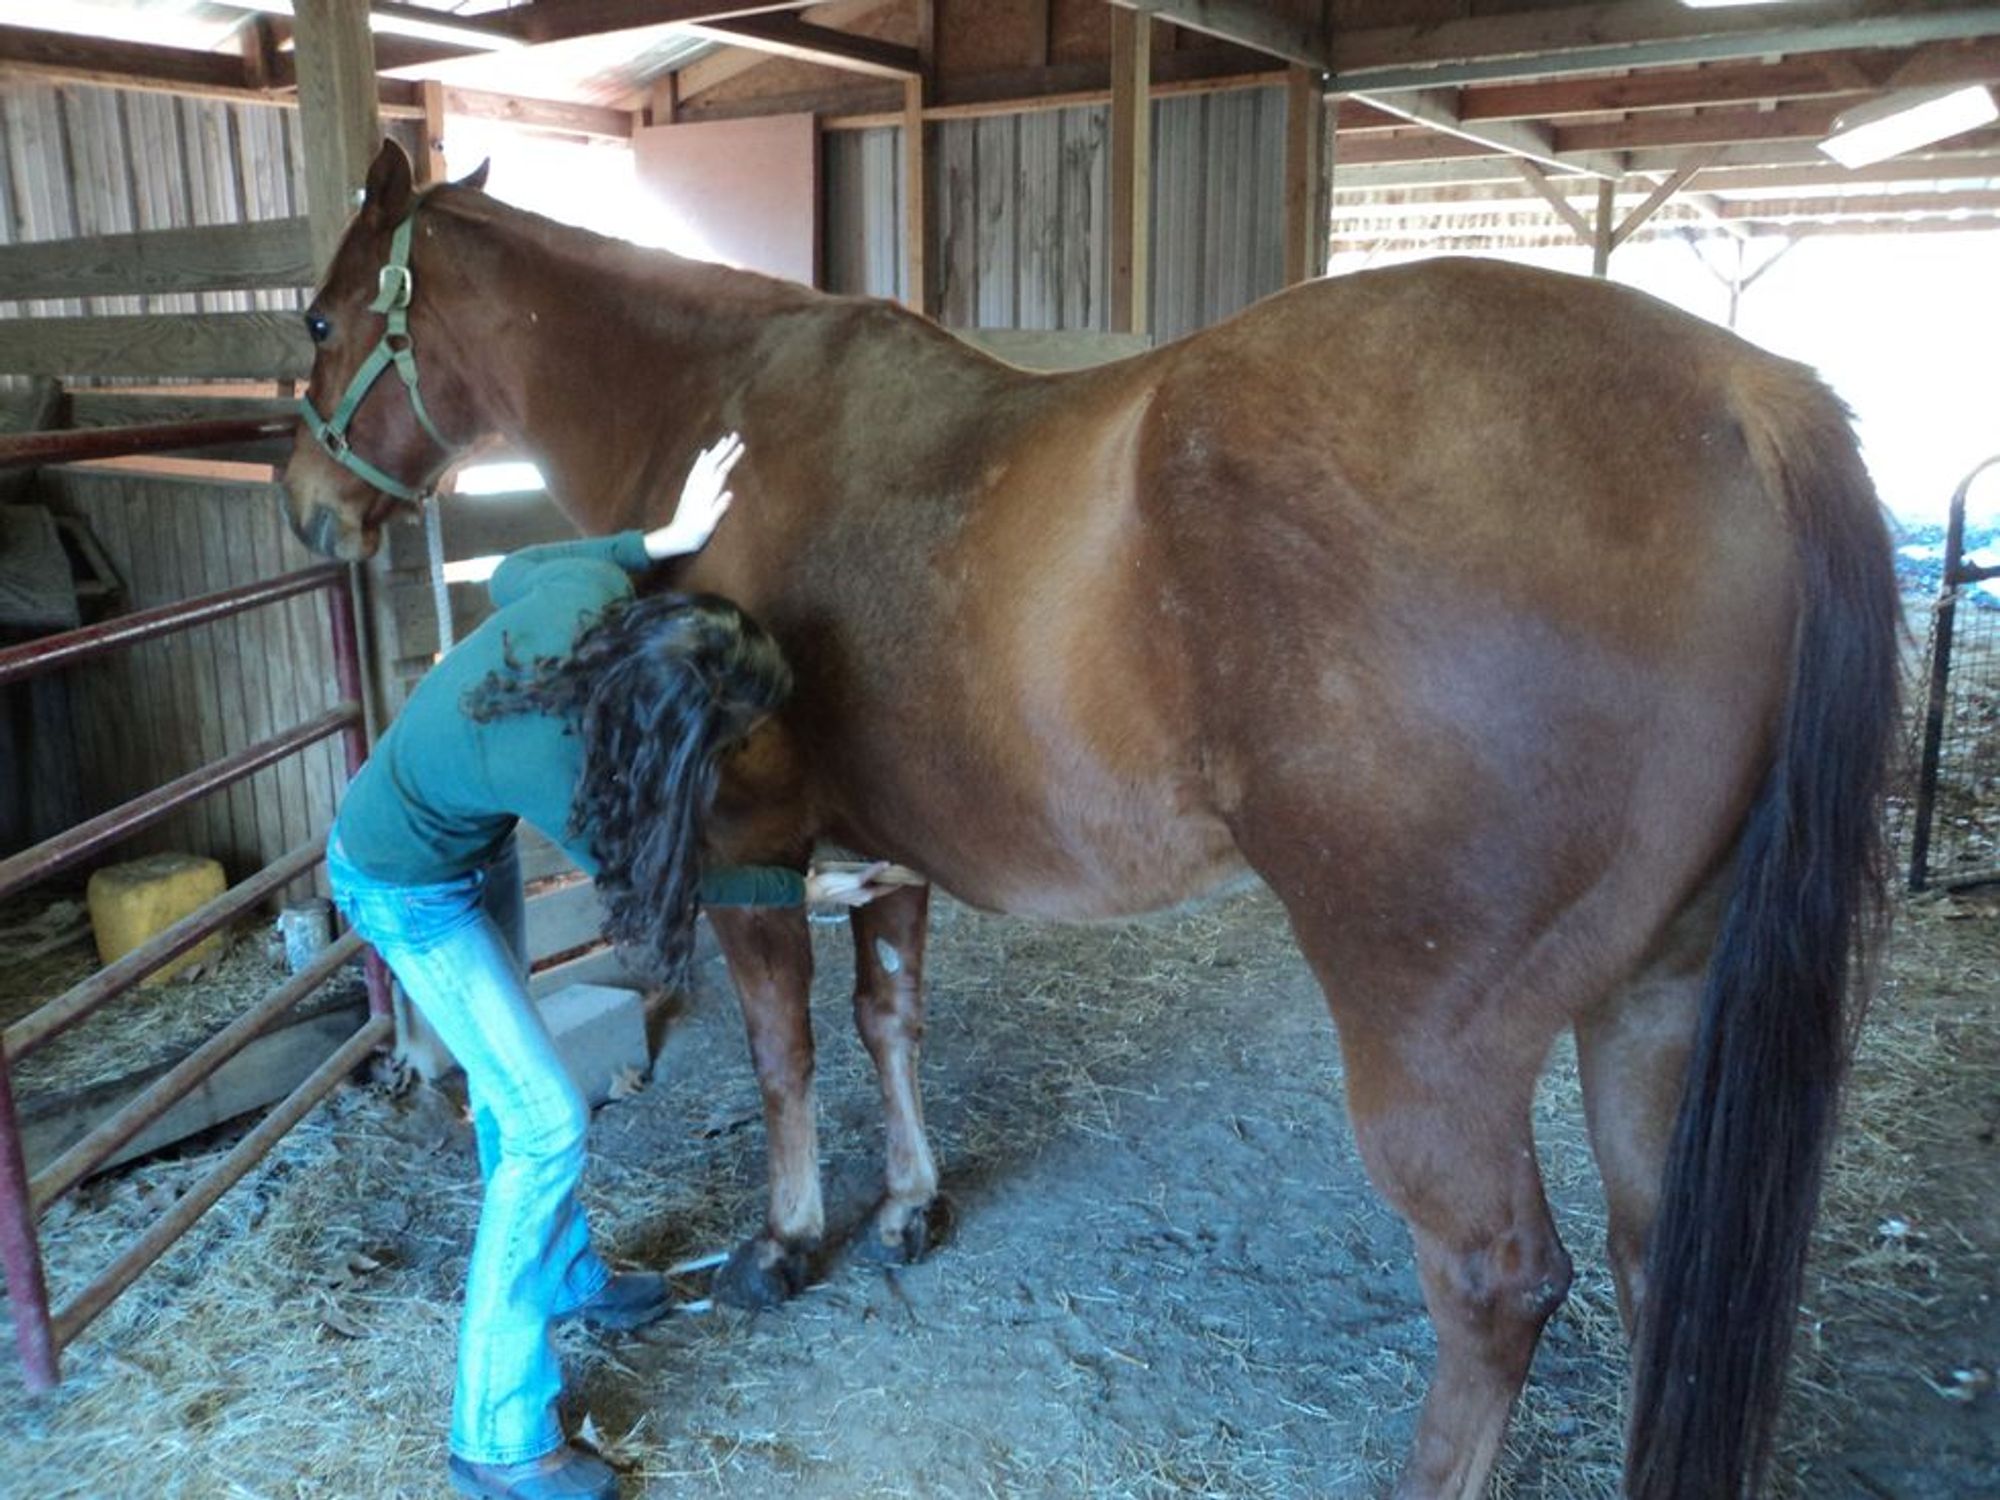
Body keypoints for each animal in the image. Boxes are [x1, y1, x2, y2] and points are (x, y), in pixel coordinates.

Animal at [284, 140, 1899, 1500]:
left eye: (315, 318)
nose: (308, 507)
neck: (724, 418)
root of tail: (1744, 401)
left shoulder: (750, 844)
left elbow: (785, 1051)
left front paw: (788, 1242)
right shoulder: (889, 852)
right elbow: (888, 1020)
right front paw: (908, 1211)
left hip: (1437, 1030)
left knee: (1497, 1282)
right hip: (1657, 997)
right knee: (1653, 1260)